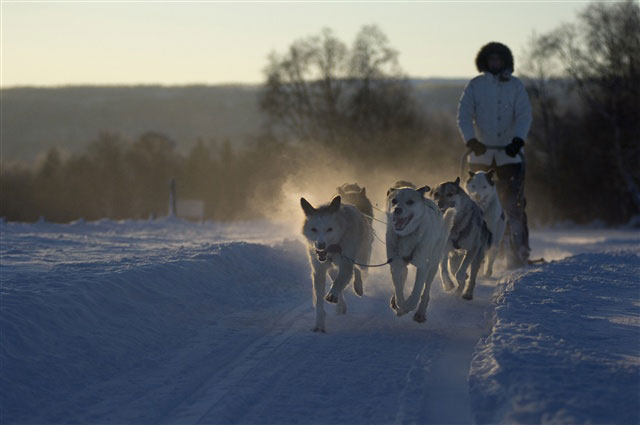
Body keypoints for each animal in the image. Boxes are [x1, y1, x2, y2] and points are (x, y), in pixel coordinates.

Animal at [302, 195, 372, 332]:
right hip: (332, 269)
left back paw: (358, 288)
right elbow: (319, 301)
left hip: (361, 259)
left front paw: (332, 294)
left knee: (357, 270)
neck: (334, 249)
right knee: (336, 276)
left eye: (330, 229)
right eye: (314, 229)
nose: (321, 245)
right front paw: (319, 324)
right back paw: (341, 305)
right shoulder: (319, 271)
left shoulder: (346, 264)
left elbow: (339, 281)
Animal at [384, 182, 456, 322]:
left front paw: (408, 306)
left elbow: (416, 292)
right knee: (404, 275)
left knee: (426, 290)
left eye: (410, 202)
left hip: (433, 266)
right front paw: (400, 305)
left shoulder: (423, 267)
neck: (407, 236)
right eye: (394, 201)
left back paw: (420, 312)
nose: (397, 210)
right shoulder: (396, 265)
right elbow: (398, 289)